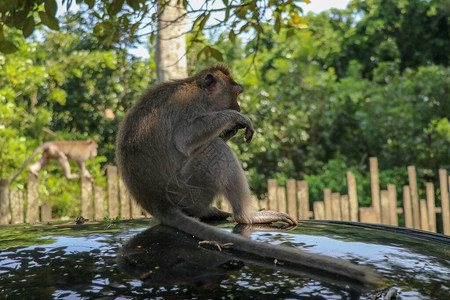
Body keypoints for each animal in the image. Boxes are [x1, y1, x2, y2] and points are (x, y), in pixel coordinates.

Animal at [116, 66, 380, 286]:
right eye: (236, 94)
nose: (239, 108)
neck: (196, 87)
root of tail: (158, 205)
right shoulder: (192, 104)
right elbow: (184, 138)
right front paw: (237, 120)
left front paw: (231, 127)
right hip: (187, 190)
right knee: (216, 150)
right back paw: (248, 216)